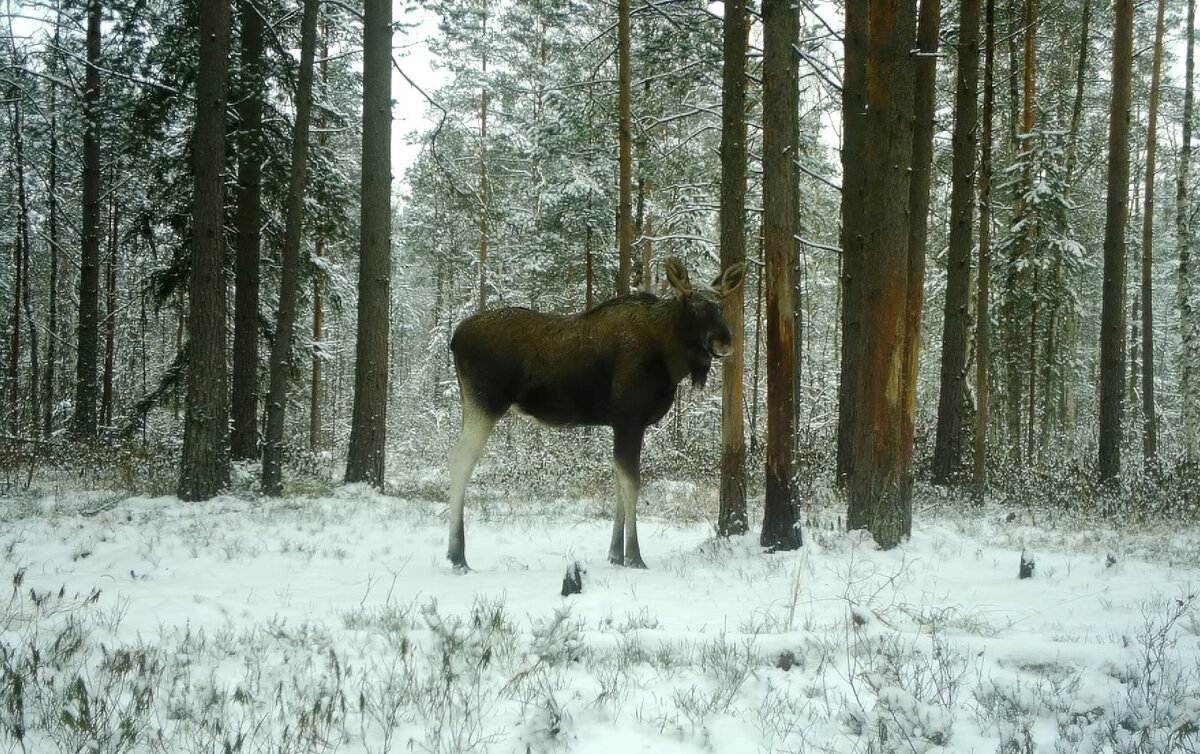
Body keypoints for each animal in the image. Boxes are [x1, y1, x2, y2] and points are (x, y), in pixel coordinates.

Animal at [446, 255, 739, 569]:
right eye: (694, 306)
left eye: (722, 305)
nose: (724, 342)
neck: (671, 360)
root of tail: (454, 338)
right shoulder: (629, 418)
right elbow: (632, 483)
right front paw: (634, 556)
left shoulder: (621, 424)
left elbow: (619, 481)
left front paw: (615, 554)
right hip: (485, 403)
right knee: (461, 460)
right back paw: (457, 555)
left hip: (470, 403)